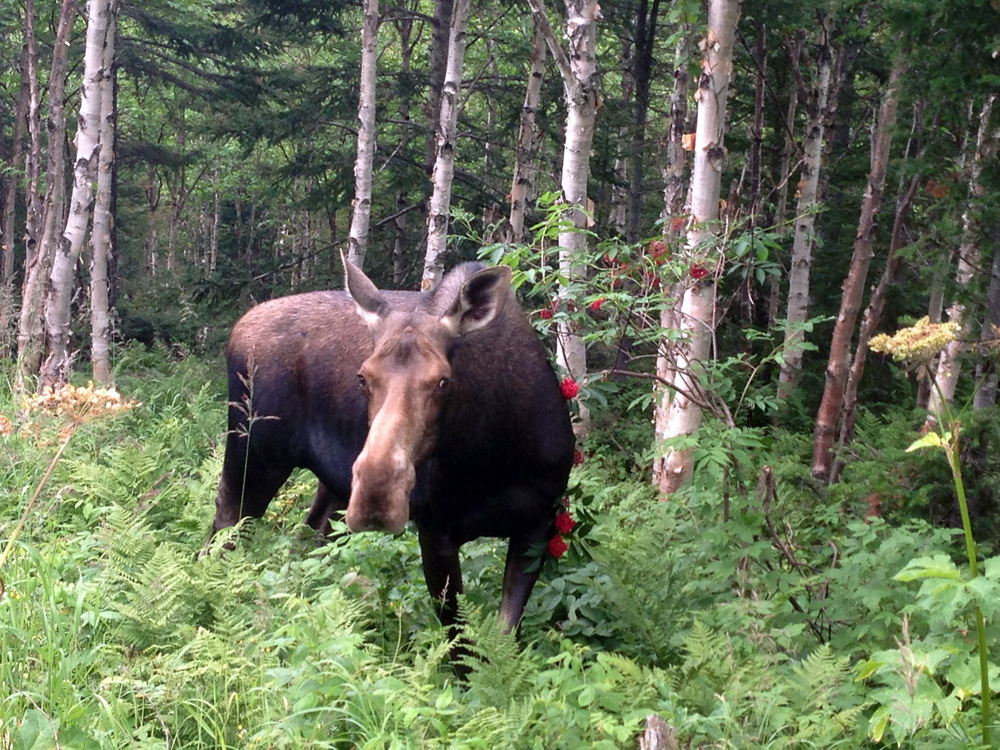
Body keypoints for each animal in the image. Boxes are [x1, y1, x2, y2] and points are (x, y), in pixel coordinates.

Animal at [207, 256, 576, 632]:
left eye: (443, 380)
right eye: (362, 377)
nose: (377, 495)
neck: (492, 457)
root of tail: (236, 330)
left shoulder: (539, 524)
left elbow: (504, 636)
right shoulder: (435, 532)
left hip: (330, 483)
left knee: (309, 534)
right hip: (253, 452)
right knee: (223, 529)